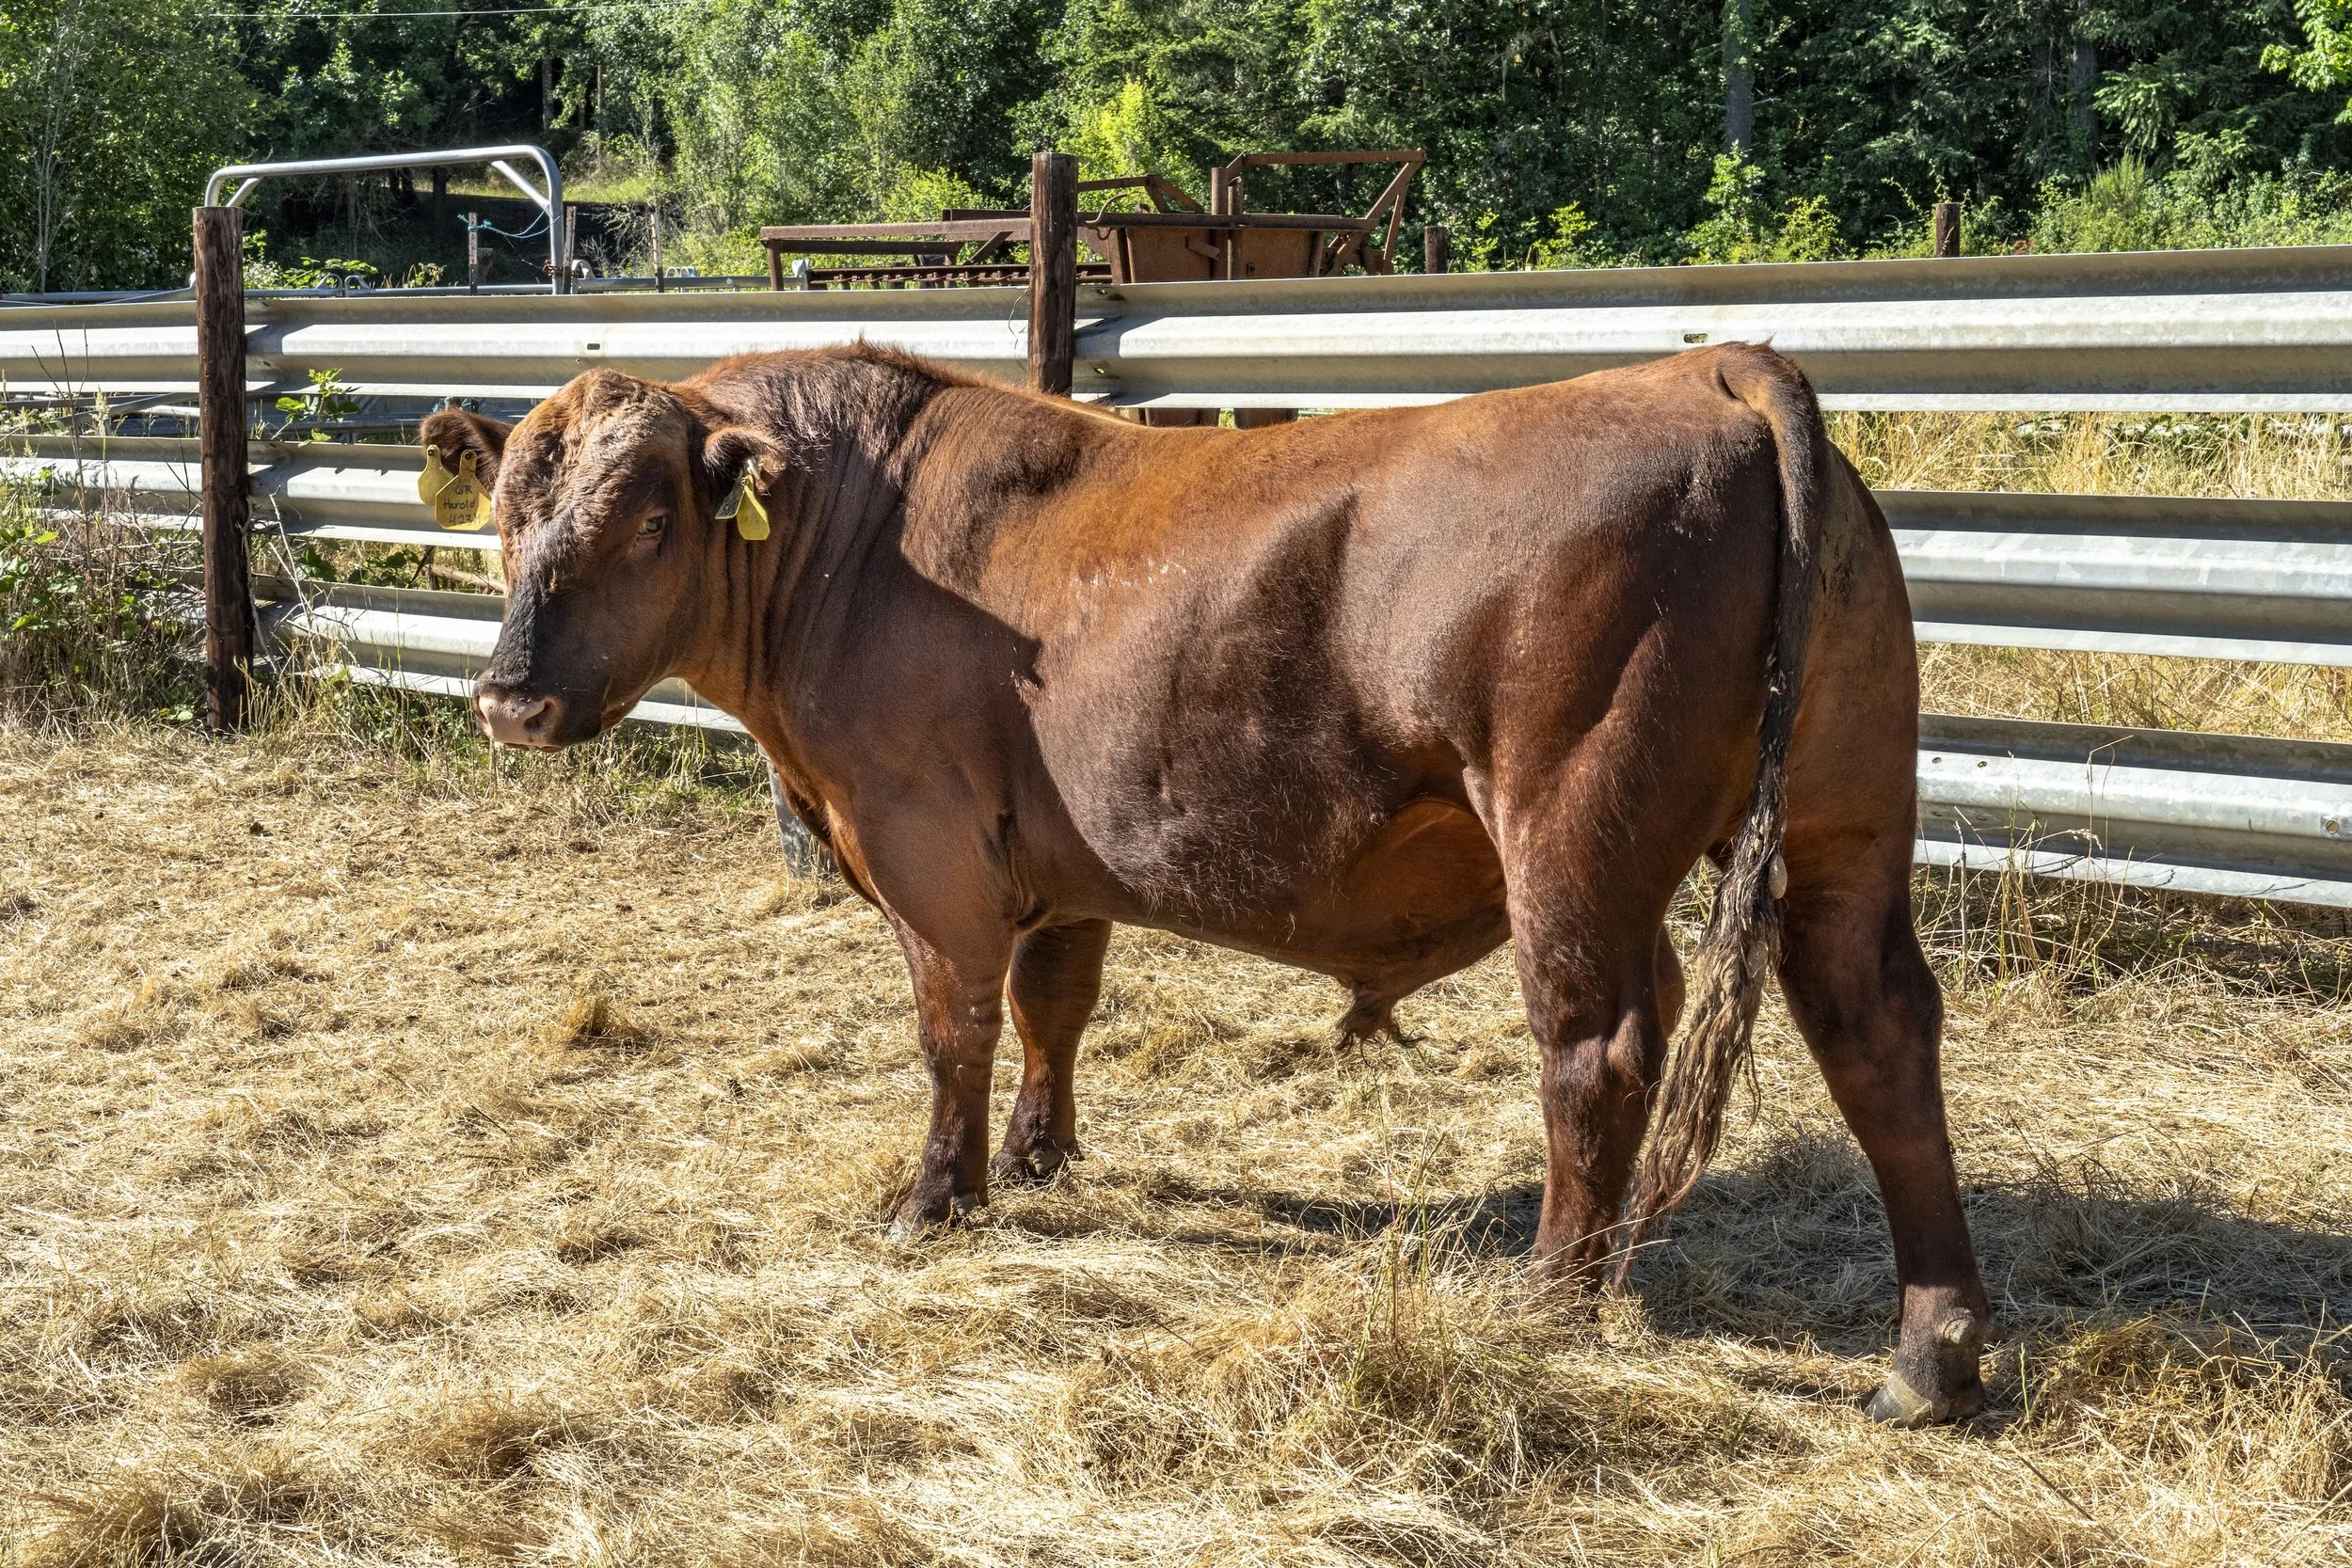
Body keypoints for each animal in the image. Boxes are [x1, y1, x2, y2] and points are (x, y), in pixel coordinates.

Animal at [418, 341, 1989, 1426]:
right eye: (507, 517)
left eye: (645, 524)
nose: (508, 697)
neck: (855, 539)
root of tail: (1710, 364)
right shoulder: (1057, 864)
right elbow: (1054, 1007)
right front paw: (1040, 1154)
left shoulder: (928, 854)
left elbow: (953, 1031)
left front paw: (938, 1195)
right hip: (1844, 825)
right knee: (1878, 1032)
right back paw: (1931, 1352)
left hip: (1570, 838)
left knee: (1597, 1050)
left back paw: (1549, 1297)